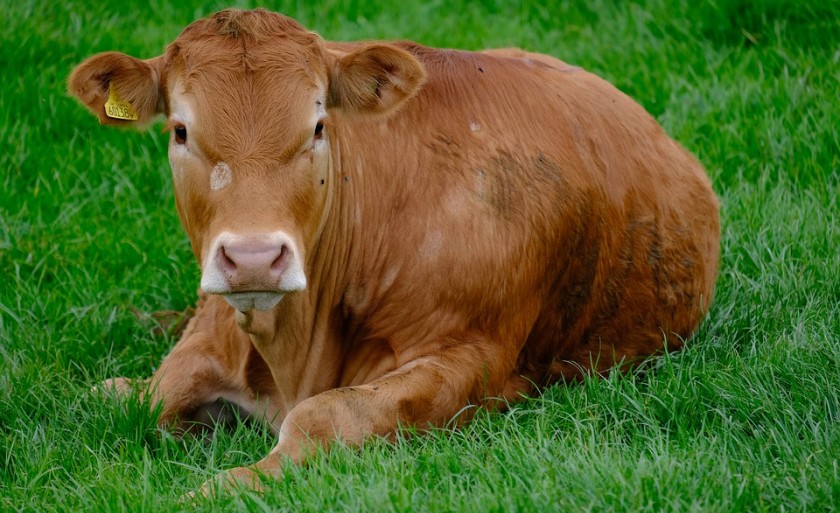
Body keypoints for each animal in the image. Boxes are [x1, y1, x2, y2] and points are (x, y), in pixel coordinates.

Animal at [69, 7, 720, 488]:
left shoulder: (471, 359)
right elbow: (123, 397)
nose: (254, 258)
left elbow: (324, 416)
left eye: (318, 126)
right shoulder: (214, 324)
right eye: (180, 130)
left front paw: (220, 486)